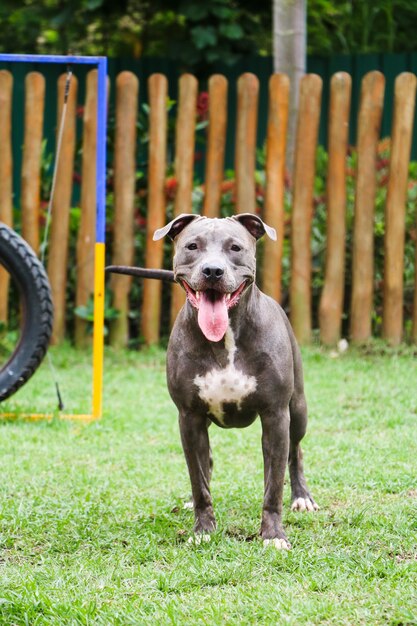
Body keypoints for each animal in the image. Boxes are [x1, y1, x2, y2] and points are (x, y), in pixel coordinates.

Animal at [151, 212, 316, 548]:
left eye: (235, 248)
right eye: (192, 246)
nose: (213, 271)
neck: (225, 338)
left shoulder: (276, 415)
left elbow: (273, 485)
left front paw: (273, 535)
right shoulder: (189, 417)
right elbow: (199, 479)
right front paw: (203, 529)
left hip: (298, 410)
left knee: (295, 452)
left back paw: (302, 496)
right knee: (206, 463)